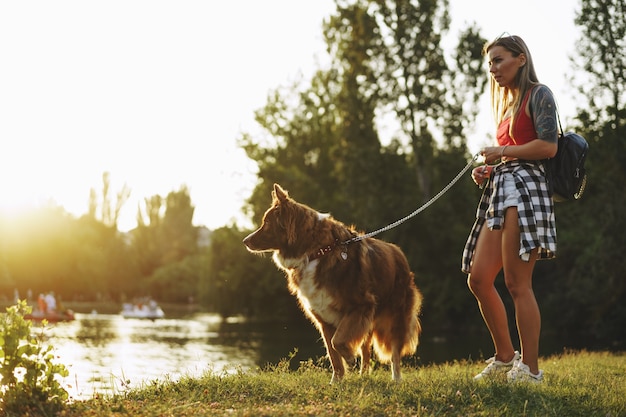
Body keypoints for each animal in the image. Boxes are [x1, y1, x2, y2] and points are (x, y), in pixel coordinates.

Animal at [241, 184, 422, 382]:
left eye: (266, 223)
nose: (245, 241)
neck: (317, 251)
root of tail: (399, 253)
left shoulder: (360, 306)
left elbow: (338, 341)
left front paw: (349, 357)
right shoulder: (324, 317)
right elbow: (333, 353)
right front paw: (336, 381)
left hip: (395, 315)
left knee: (395, 351)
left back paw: (396, 378)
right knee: (366, 348)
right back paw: (363, 375)